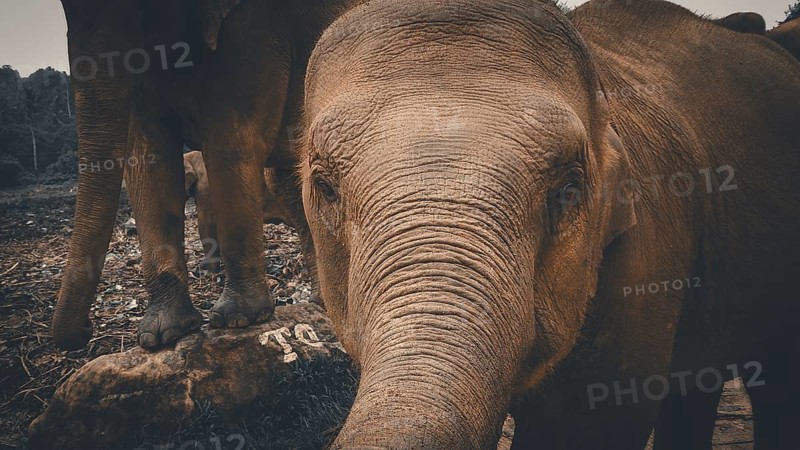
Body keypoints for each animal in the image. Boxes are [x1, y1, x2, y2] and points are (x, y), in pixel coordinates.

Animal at [52, 0, 360, 350]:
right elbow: (146, 155)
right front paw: (161, 335)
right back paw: (320, 304)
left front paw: (238, 320)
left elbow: (231, 139)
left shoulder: (254, 26)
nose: (86, 330)